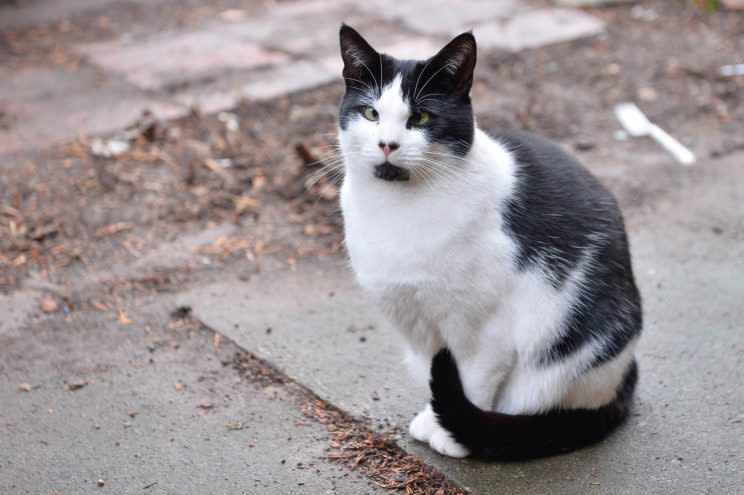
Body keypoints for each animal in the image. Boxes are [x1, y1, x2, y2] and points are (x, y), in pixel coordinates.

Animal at [336, 24, 640, 462]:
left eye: (420, 116)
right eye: (371, 113)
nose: (388, 144)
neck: (398, 208)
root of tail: (625, 375)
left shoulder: (486, 332)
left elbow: (472, 381)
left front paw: (452, 436)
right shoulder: (416, 321)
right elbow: (434, 373)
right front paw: (435, 419)